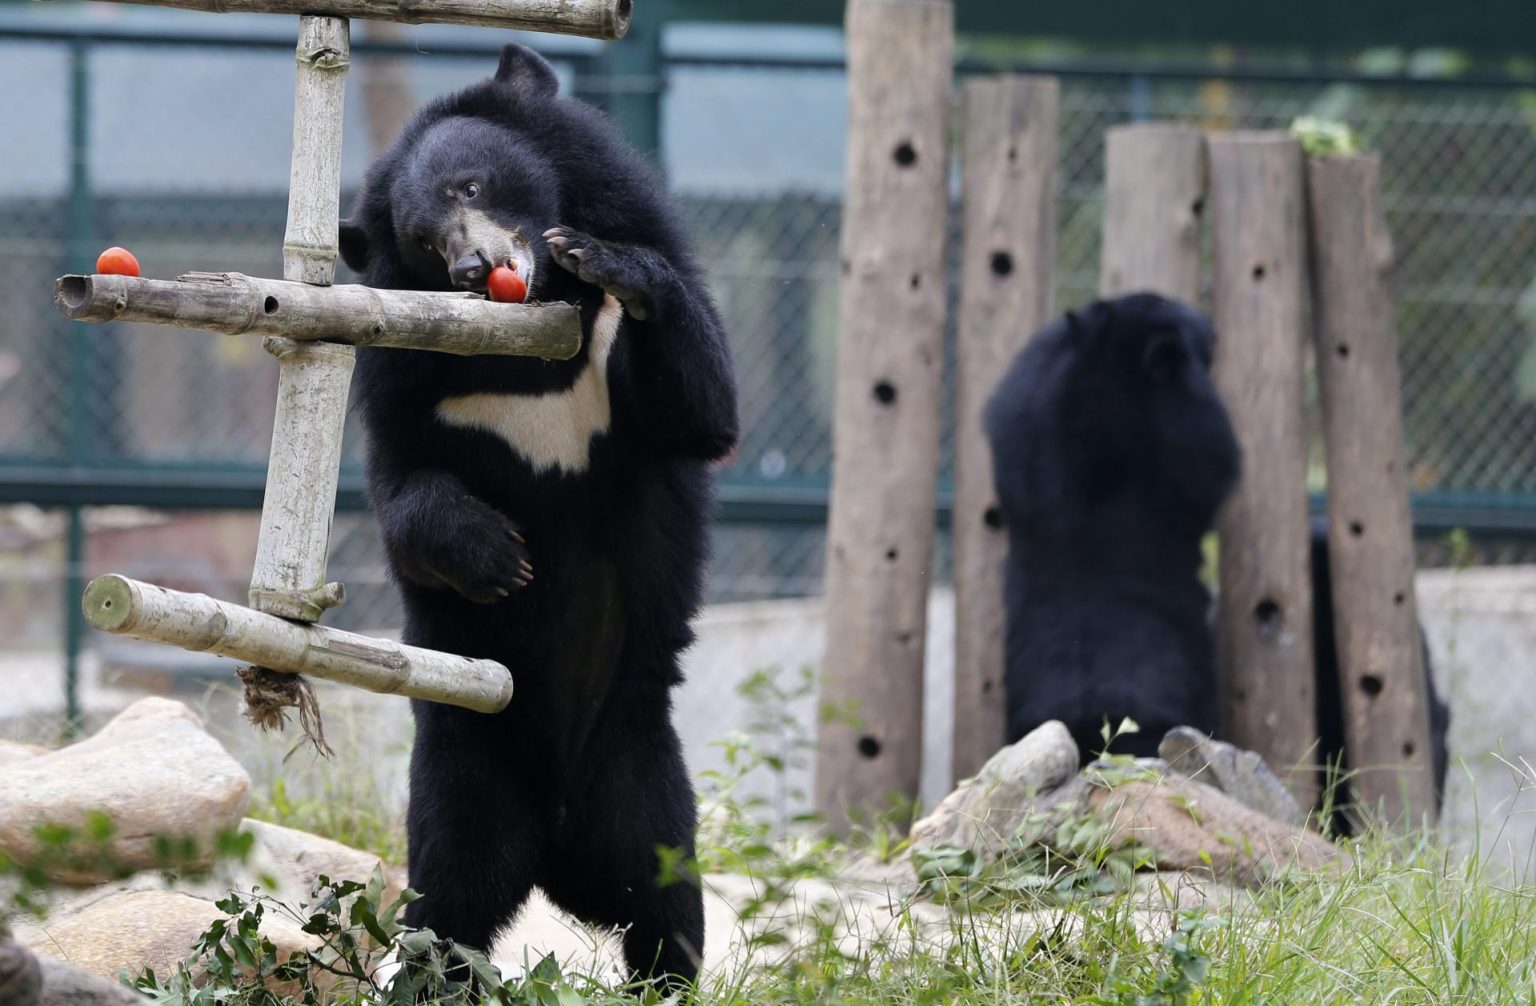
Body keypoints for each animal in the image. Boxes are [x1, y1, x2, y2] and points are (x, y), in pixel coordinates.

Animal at [337, 43, 743, 989]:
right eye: (423, 241)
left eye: (474, 185)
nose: (474, 271)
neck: (530, 342)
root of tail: (559, 847)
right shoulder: (408, 377)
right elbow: (402, 485)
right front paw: (497, 557)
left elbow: (705, 408)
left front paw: (608, 259)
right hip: (465, 764)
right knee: (449, 898)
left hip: (639, 765)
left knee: (665, 893)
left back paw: (663, 981)